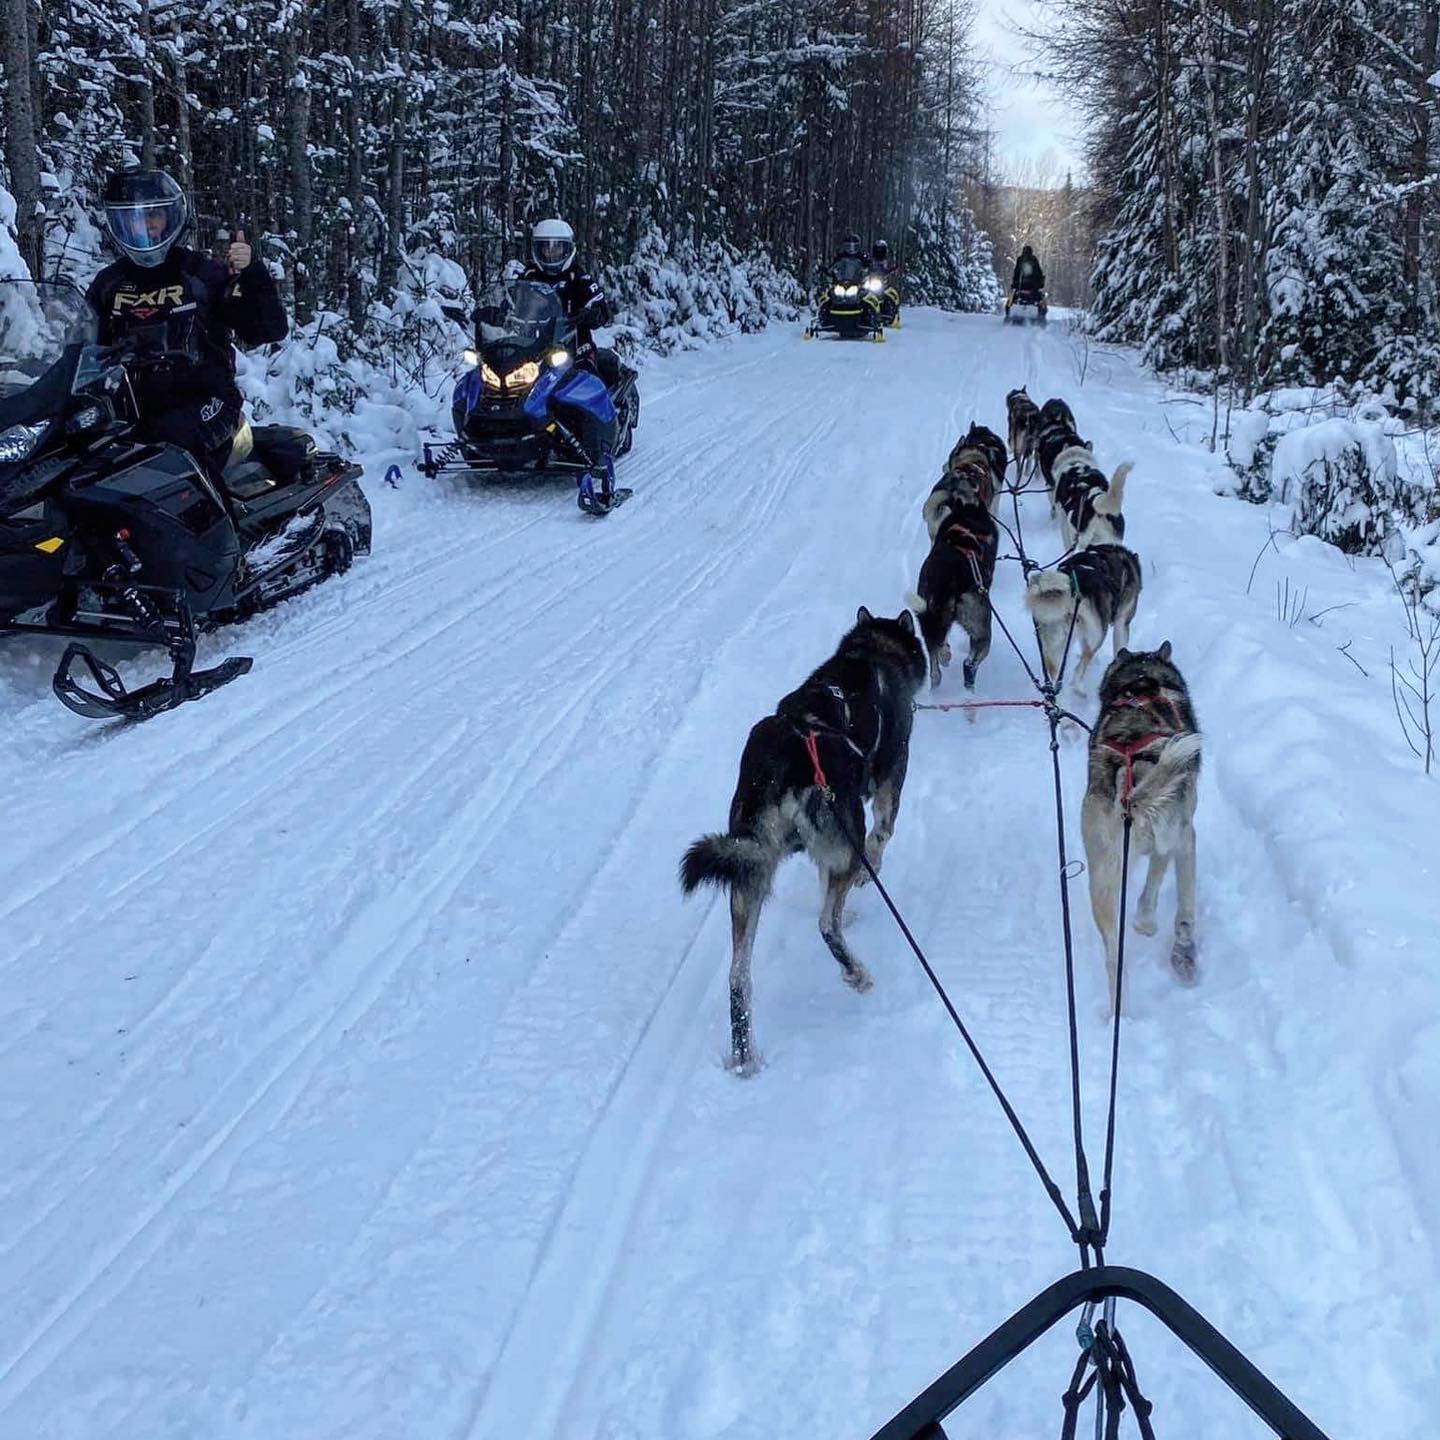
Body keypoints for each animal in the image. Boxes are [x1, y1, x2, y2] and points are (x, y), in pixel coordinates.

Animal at [679, 604, 927, 1071]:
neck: (871, 652)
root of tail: (780, 767)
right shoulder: (890, 783)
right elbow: (883, 836)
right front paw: (871, 873)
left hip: (748, 877)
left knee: (738, 976)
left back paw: (745, 1059)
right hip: (843, 836)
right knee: (826, 923)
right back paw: (856, 972)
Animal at [904, 498, 996, 688]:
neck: (967, 526)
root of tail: (947, 576)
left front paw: (944, 654)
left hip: (930, 616)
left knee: (935, 662)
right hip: (981, 626)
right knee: (971, 662)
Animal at [1082, 642, 1198, 1013]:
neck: (1143, 680)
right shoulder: (1175, 841)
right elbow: (1154, 883)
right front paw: (1145, 922)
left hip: (1102, 879)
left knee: (1113, 958)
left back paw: (1120, 1011)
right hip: (1182, 838)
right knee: (1184, 910)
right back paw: (1183, 953)